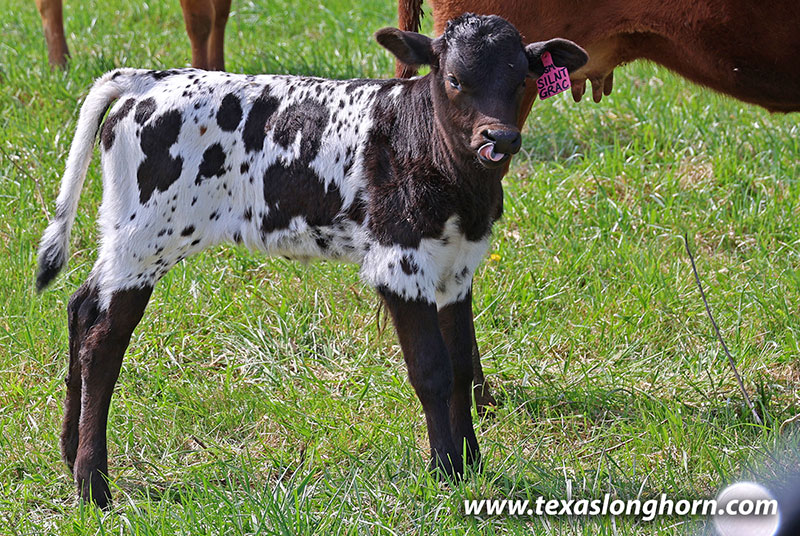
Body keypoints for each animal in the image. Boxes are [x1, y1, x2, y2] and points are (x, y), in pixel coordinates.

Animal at [36, 14, 588, 507]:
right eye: (454, 79)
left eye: (522, 79)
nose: (500, 139)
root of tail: (150, 79)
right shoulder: (399, 263)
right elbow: (431, 370)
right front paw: (447, 472)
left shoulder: (458, 269)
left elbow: (460, 367)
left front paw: (472, 465)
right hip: (145, 240)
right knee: (103, 344)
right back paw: (93, 486)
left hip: (125, 238)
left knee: (81, 308)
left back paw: (69, 453)